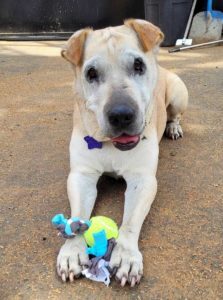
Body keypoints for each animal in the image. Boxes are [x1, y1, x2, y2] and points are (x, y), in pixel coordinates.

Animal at [56, 19, 188, 288]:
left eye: (138, 65)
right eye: (91, 73)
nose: (121, 115)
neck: (110, 145)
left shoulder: (143, 179)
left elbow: (130, 221)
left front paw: (126, 255)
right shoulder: (81, 176)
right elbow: (77, 216)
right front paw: (72, 250)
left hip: (180, 94)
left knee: (176, 114)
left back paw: (173, 127)